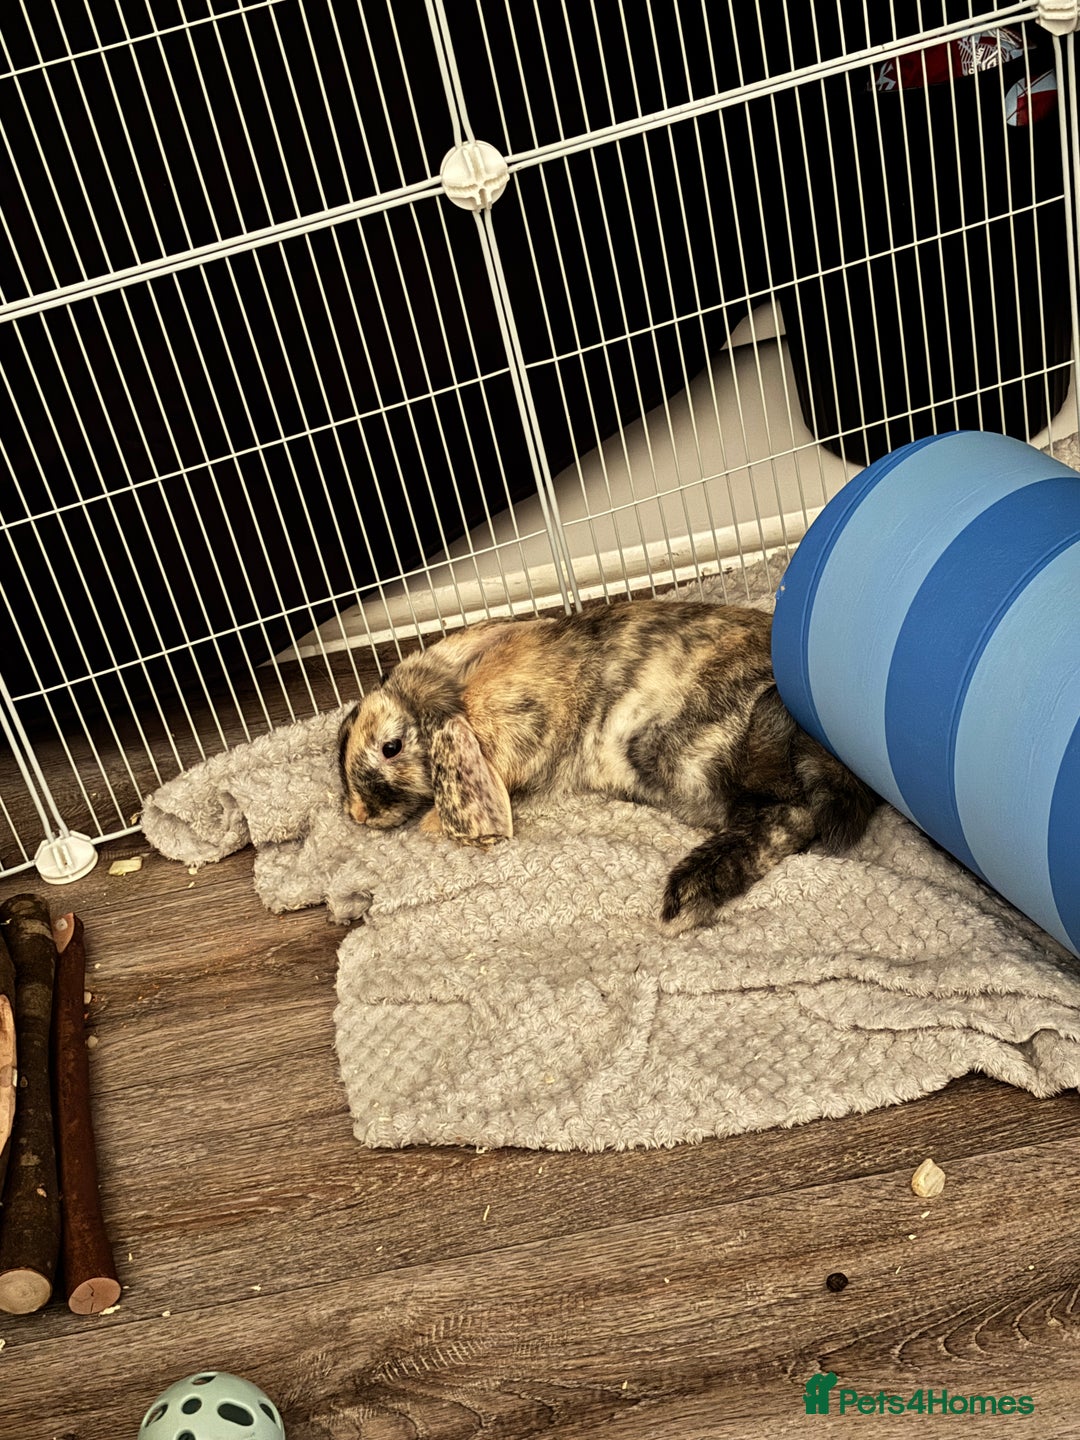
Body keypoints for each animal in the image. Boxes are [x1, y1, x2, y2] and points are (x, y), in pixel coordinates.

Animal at [337, 599, 879, 929]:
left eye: (391, 747)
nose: (357, 815)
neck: (455, 698)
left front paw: (432, 823)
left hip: (681, 753)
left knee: (789, 814)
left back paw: (687, 894)